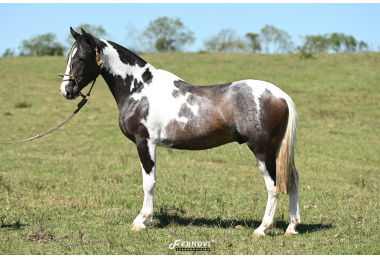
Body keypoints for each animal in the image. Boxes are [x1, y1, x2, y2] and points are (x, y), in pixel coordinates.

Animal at [60, 27, 302, 237]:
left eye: (81, 59)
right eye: (68, 57)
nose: (66, 91)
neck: (139, 88)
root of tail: (280, 95)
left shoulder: (145, 142)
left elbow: (148, 182)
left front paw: (141, 220)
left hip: (262, 150)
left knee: (273, 185)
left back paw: (262, 229)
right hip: (277, 149)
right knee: (293, 179)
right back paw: (291, 227)